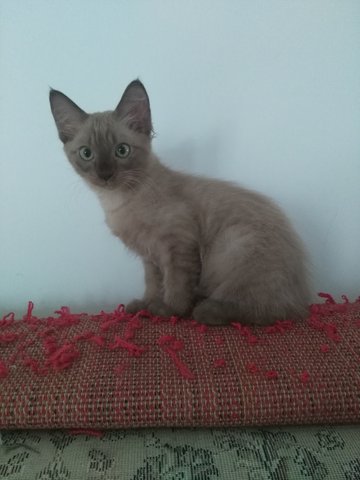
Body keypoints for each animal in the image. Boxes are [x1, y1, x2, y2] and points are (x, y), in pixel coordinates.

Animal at [49, 79, 310, 326]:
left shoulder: (178, 243)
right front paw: (145, 305)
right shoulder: (150, 256)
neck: (117, 201)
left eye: (122, 151)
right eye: (86, 154)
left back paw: (205, 309)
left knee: (267, 310)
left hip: (234, 246)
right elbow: (153, 283)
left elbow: (176, 284)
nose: (105, 174)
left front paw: (168, 310)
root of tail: (303, 296)